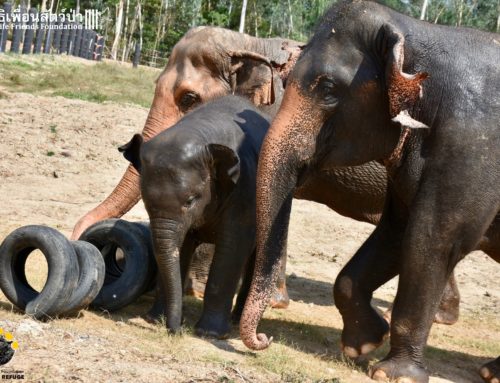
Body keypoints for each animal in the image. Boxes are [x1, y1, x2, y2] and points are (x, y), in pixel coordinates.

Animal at [120, 96, 270, 340]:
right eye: (146, 202)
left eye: (191, 200)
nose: (176, 331)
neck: (199, 133)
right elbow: (180, 247)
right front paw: (156, 319)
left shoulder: (244, 188)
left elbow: (232, 247)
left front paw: (210, 333)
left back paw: (237, 321)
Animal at [240, 1, 498, 382]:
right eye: (284, 81)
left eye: (329, 88)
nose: (263, 338)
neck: (419, 33)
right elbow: (396, 232)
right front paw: (362, 345)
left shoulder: (474, 148)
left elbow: (435, 238)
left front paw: (393, 374)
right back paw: (491, 371)